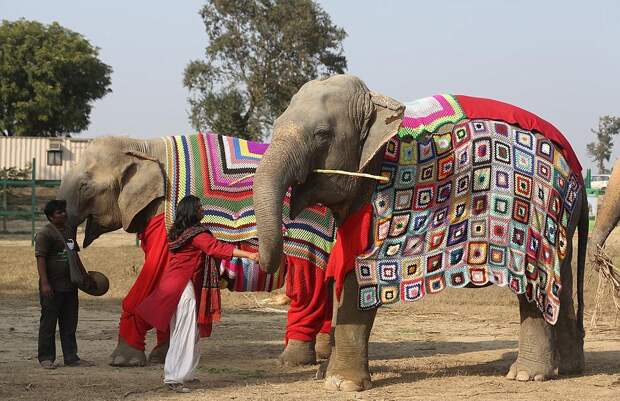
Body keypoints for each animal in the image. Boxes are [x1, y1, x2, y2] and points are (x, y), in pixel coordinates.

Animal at [55, 134, 332, 366]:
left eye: (84, 186)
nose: (96, 278)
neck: (143, 145)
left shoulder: (164, 220)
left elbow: (154, 277)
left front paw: (124, 361)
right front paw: (161, 357)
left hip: (310, 234)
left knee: (308, 286)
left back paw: (295, 359)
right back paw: (323, 353)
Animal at [254, 73, 588, 390]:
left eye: (322, 135)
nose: (271, 266)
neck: (375, 102)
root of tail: (577, 170)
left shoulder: (383, 207)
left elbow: (360, 274)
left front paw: (342, 384)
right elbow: (344, 266)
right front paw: (325, 375)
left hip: (538, 210)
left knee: (535, 280)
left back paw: (527, 375)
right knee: (562, 282)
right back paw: (568, 369)